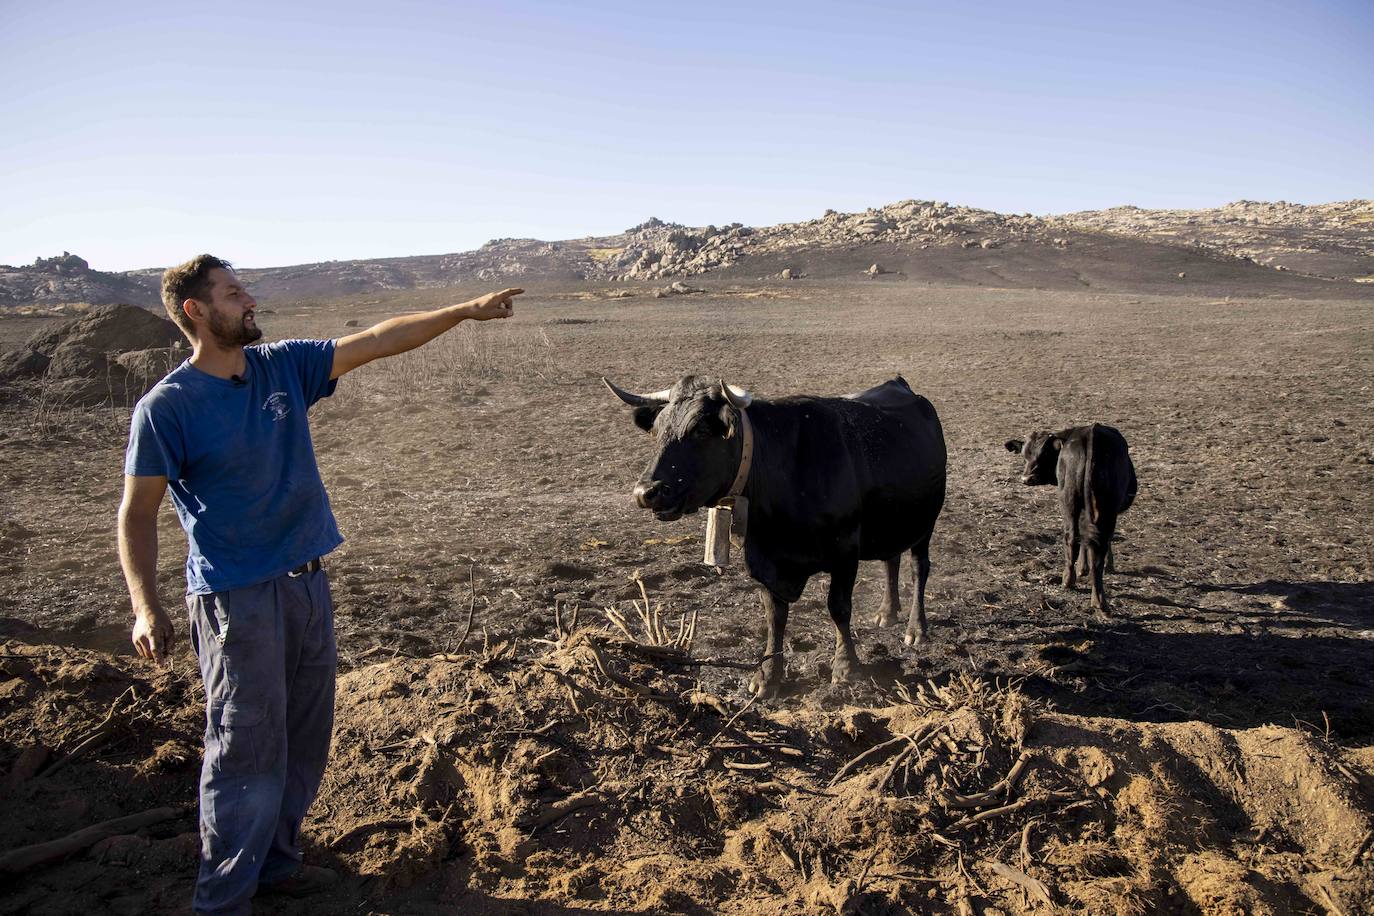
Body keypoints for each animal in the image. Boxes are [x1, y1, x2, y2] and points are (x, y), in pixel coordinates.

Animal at [607, 376, 950, 697]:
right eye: (657, 430)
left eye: (700, 430)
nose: (646, 492)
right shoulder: (764, 560)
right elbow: (775, 617)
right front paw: (768, 675)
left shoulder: (845, 552)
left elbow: (839, 608)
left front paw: (846, 667)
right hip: (892, 522)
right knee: (890, 561)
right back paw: (886, 613)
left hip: (926, 523)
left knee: (918, 569)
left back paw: (915, 629)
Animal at [1000, 425, 1137, 612]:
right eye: (1024, 455)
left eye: (1044, 454)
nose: (1027, 478)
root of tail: (1091, 434)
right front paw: (1093, 566)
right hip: (1093, 505)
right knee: (1090, 541)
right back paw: (1085, 591)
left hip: (1071, 498)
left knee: (1079, 538)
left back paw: (1083, 589)